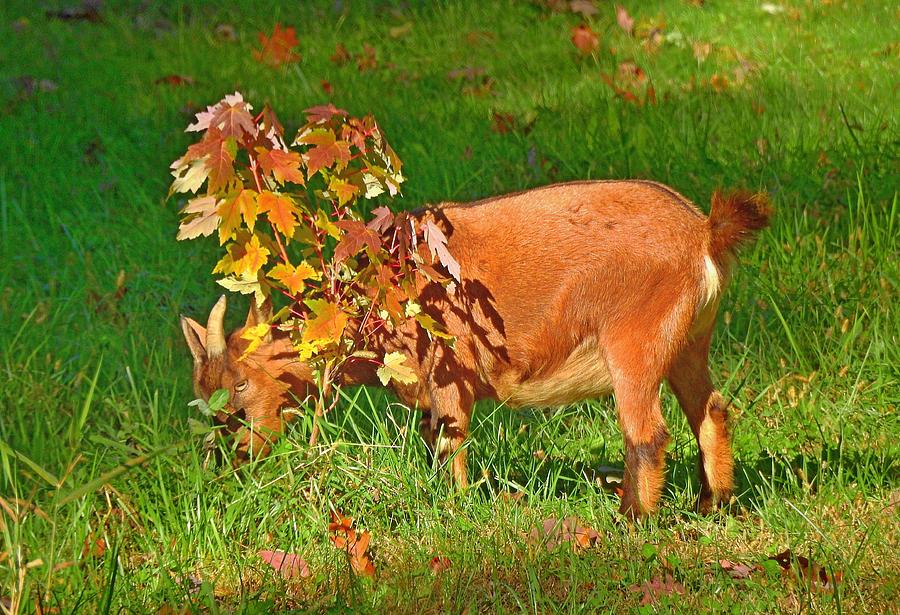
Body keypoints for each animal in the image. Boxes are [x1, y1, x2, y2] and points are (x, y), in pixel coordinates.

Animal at [179, 180, 768, 516]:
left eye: (241, 383)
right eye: (200, 392)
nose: (228, 459)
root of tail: (704, 234)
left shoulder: (447, 372)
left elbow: (449, 440)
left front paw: (455, 510)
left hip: (634, 344)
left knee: (647, 434)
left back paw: (631, 520)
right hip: (688, 344)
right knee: (712, 411)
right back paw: (713, 506)